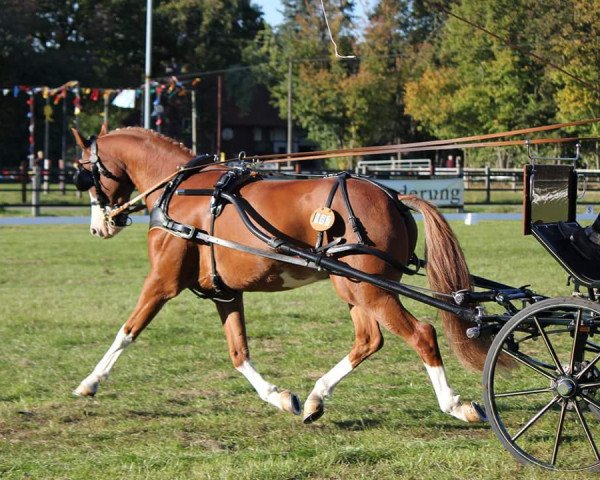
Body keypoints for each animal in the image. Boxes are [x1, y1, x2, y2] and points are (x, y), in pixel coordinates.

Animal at [72, 126, 490, 424]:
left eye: (84, 173)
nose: (99, 227)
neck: (181, 189)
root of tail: (393, 197)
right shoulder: (225, 293)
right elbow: (238, 352)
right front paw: (280, 397)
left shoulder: (161, 282)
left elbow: (128, 331)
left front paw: (90, 382)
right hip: (355, 289)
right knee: (368, 340)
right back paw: (316, 398)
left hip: (370, 290)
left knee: (422, 334)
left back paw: (456, 404)